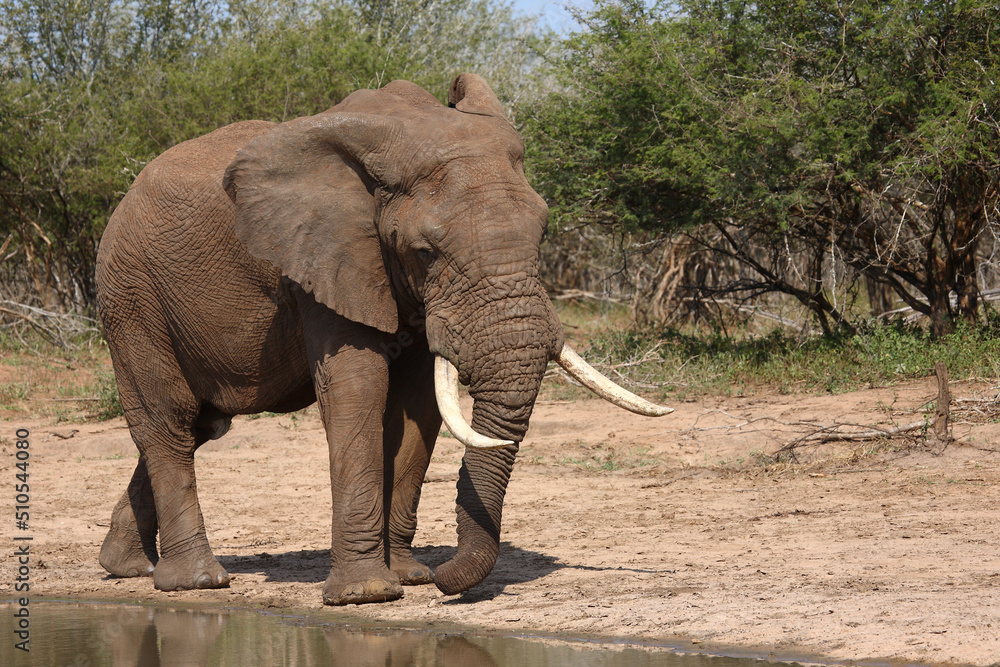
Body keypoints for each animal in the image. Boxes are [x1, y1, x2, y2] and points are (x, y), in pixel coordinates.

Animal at [95, 73, 670, 605]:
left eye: (544, 231)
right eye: (425, 252)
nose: (443, 580)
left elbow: (418, 403)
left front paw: (409, 578)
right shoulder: (326, 257)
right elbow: (359, 388)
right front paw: (367, 594)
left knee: (200, 425)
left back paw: (127, 567)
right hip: (132, 297)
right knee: (168, 422)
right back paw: (196, 582)